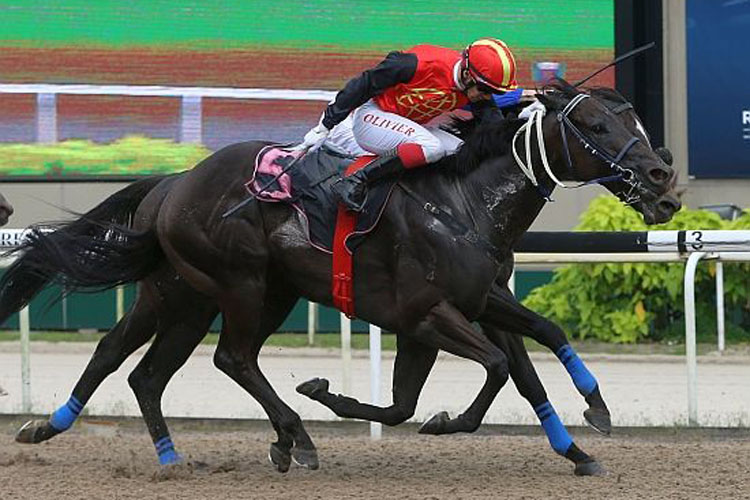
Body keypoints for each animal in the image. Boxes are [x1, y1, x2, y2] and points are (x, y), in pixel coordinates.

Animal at [0, 80, 680, 474]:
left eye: (639, 124)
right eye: (596, 127)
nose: (664, 185)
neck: (462, 200)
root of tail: (175, 181)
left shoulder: (480, 299)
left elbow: (535, 344)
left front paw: (585, 431)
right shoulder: (428, 313)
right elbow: (487, 371)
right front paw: (440, 420)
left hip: (197, 294)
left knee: (137, 363)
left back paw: (122, 441)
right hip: (238, 286)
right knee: (224, 358)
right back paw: (294, 437)